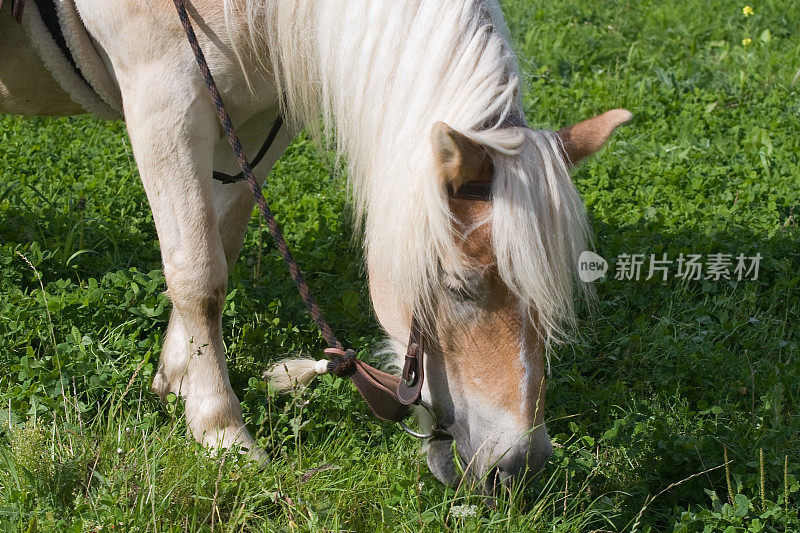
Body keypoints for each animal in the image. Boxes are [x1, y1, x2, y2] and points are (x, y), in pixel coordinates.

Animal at [0, 0, 628, 488]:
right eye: (458, 285)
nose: (519, 468)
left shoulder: (253, 115)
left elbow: (220, 241)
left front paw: (177, 377)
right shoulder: (163, 98)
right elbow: (198, 272)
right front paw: (220, 427)